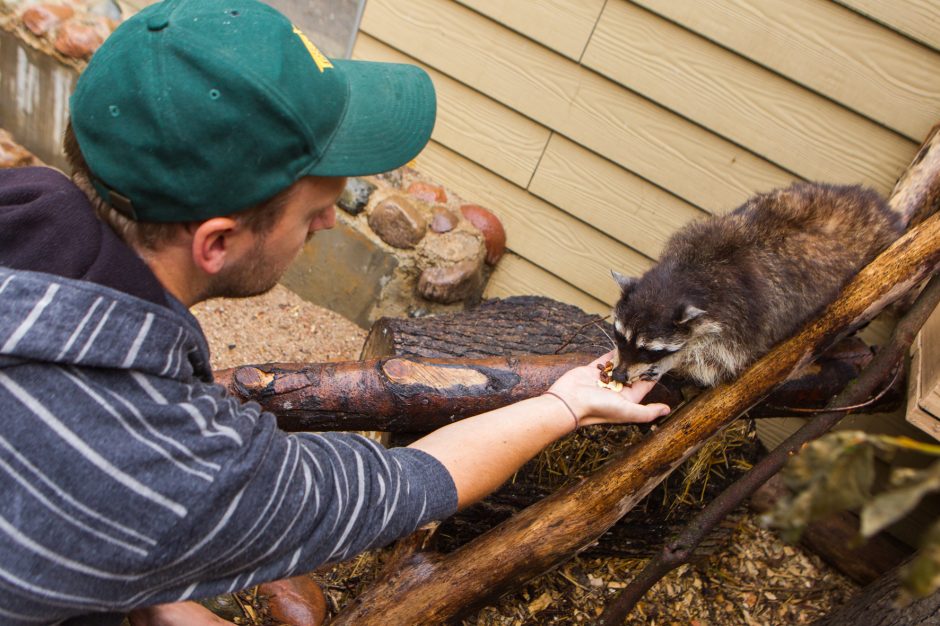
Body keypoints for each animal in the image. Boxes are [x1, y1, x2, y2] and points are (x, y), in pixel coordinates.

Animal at [608, 180, 904, 386]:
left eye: (650, 351)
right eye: (620, 336)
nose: (620, 376)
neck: (685, 275)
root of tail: (882, 209)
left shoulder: (741, 317)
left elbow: (717, 361)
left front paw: (675, 360)